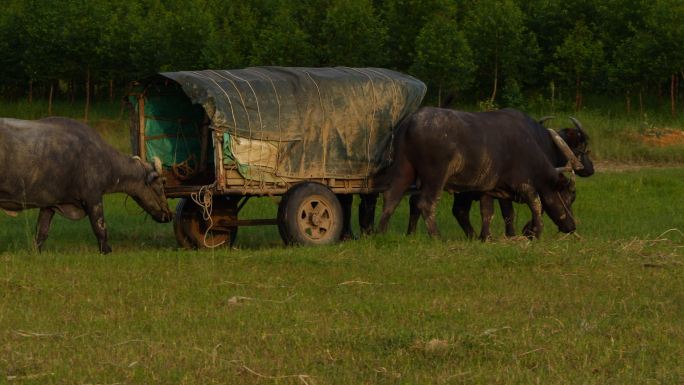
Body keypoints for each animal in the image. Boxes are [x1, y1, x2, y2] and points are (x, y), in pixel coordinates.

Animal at [0, 117, 171, 255]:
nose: (168, 215)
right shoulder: (93, 198)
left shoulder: (49, 204)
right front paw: (106, 250)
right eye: (161, 184)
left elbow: (41, 232)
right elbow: (100, 227)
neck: (104, 159)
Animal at [380, 107, 576, 237]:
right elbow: (536, 205)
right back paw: (437, 237)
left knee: (391, 197)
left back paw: (381, 233)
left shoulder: (488, 189)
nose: (572, 226)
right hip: (435, 176)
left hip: (404, 169)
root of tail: (411, 121)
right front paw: (536, 232)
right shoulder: (525, 186)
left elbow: (487, 212)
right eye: (568, 198)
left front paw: (485, 237)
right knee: (425, 203)